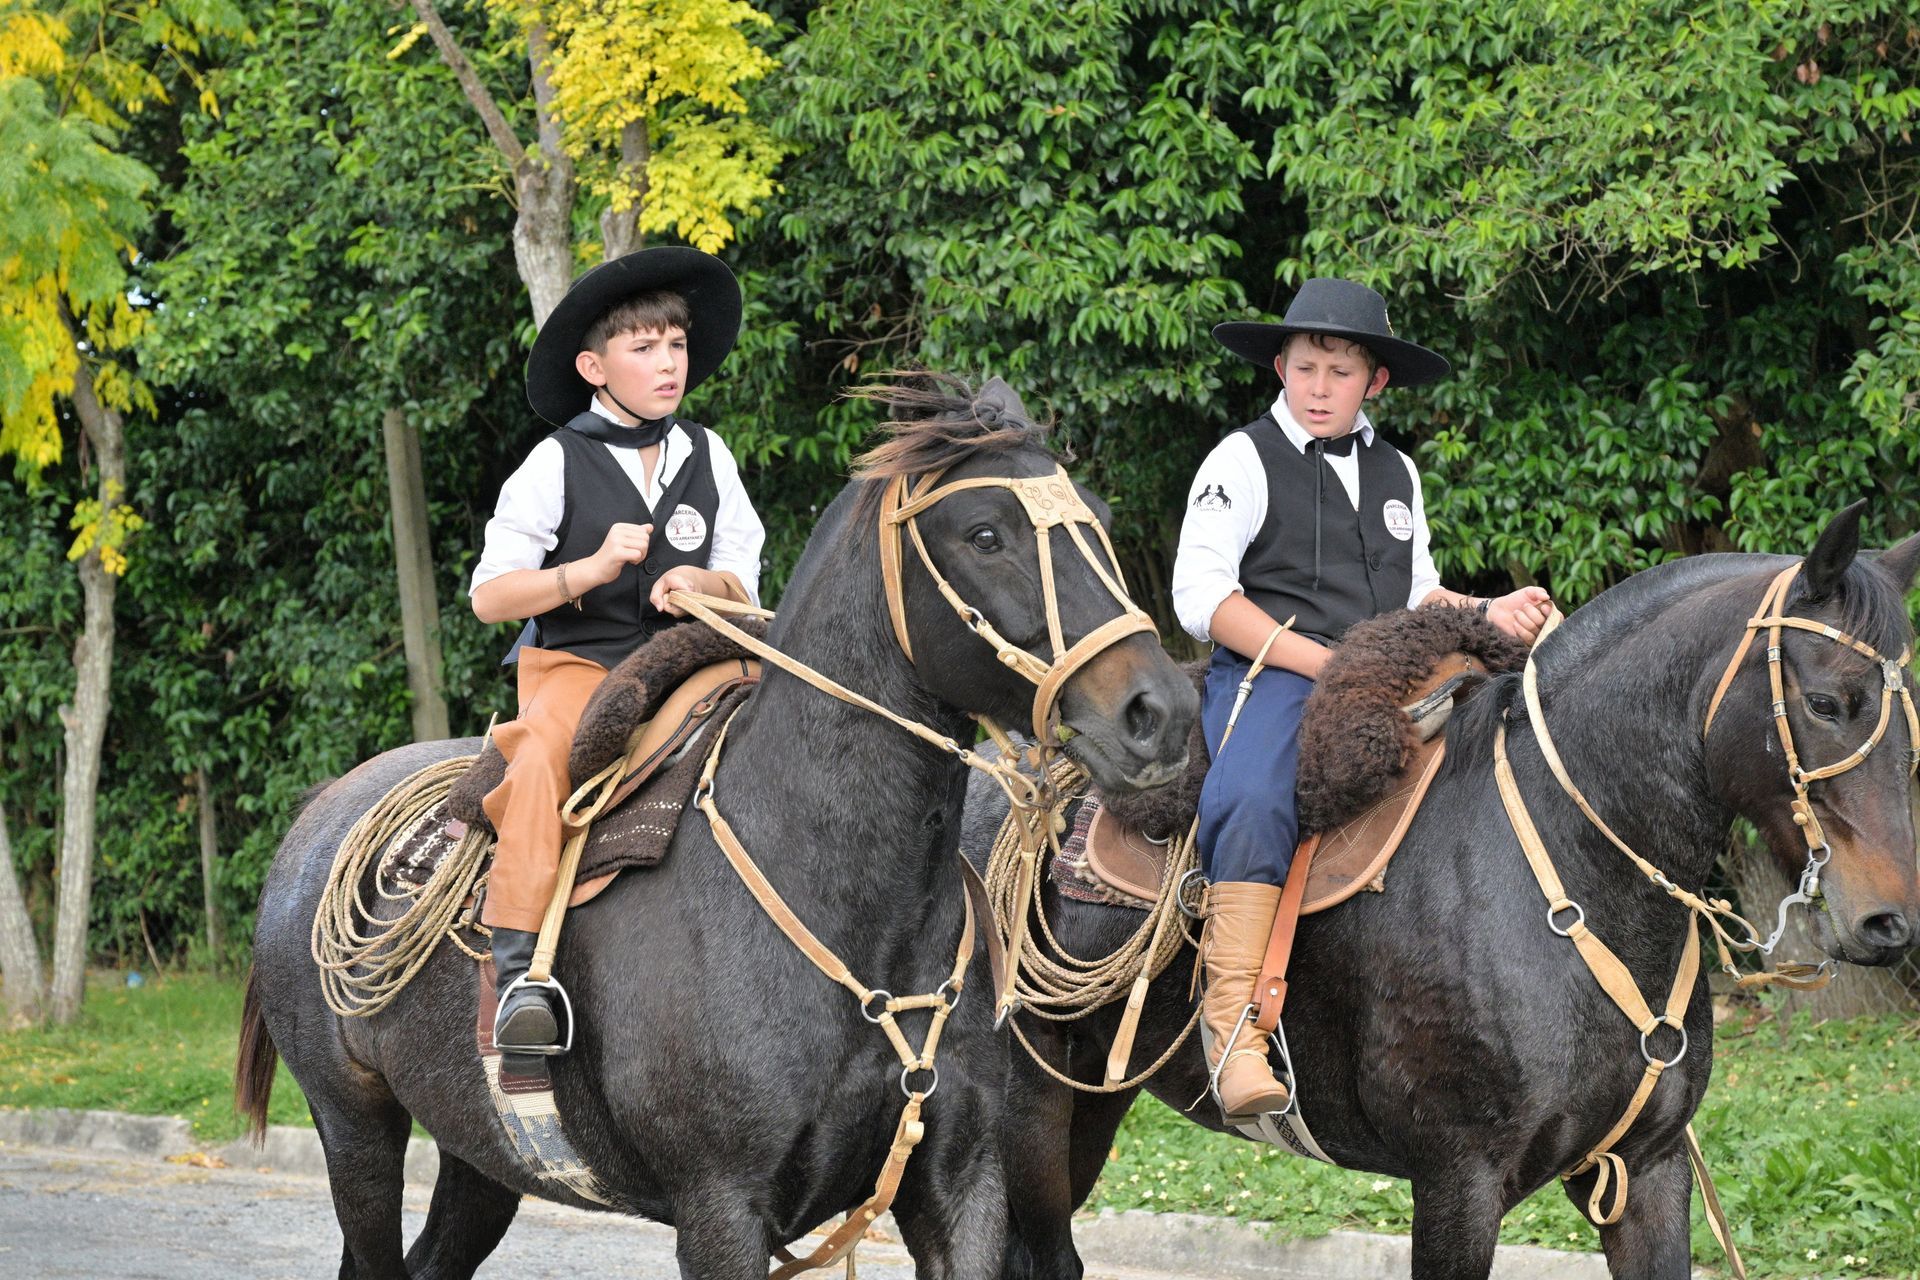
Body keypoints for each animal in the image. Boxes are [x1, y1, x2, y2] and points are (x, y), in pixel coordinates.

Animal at [234, 375, 1198, 1280]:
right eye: (986, 534)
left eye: (1099, 522)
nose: (1160, 714)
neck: (843, 900)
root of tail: (322, 811)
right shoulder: (722, 1208)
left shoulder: (964, 1192)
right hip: (355, 1129)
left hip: (481, 1156)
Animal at [961, 503, 1920, 1280]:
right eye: (1827, 702)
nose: (1891, 921)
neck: (1566, 864)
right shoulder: (1458, 1182)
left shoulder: (1648, 1173)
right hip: (1026, 1110)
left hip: (1094, 1097)